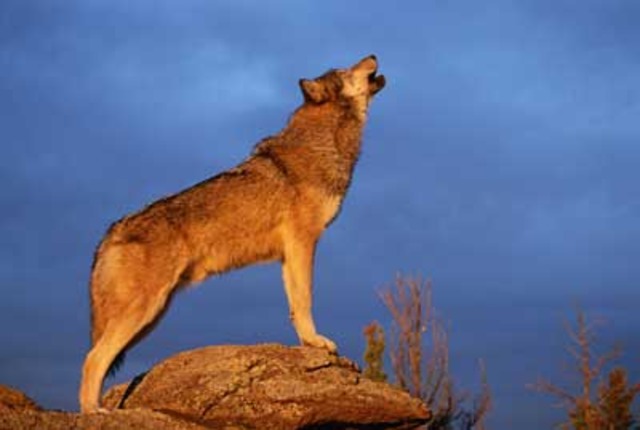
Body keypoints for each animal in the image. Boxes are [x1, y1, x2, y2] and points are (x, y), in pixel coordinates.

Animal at [79, 55, 386, 413]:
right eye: (344, 71)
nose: (372, 54)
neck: (325, 141)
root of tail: (110, 232)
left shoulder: (289, 255)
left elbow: (294, 305)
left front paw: (307, 344)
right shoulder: (303, 242)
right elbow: (306, 298)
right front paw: (316, 342)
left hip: (150, 316)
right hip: (144, 311)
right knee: (92, 359)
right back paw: (93, 412)